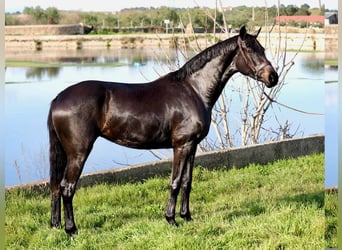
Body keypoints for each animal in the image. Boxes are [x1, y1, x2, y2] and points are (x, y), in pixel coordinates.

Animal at [48, 25, 278, 234]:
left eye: (262, 48)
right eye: (248, 49)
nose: (272, 77)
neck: (193, 90)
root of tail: (58, 98)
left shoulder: (192, 146)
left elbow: (187, 181)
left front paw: (187, 216)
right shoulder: (181, 145)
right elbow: (175, 182)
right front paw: (171, 219)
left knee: (56, 187)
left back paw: (56, 224)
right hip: (78, 152)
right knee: (67, 187)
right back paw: (71, 229)